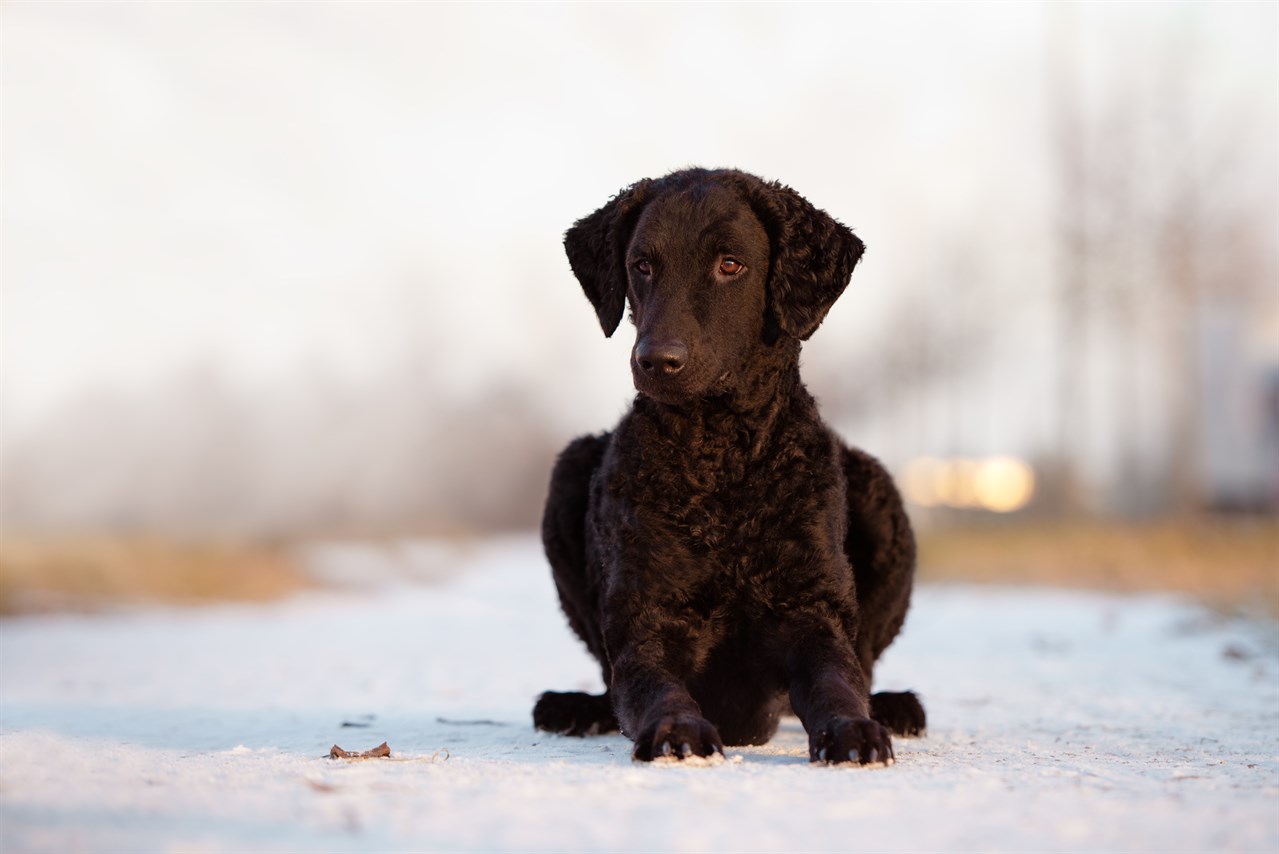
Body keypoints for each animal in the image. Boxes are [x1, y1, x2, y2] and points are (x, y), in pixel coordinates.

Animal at [534, 168, 925, 767]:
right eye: (641, 265)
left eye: (730, 264)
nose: (657, 361)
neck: (720, 466)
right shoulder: (647, 620)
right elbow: (657, 688)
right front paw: (677, 729)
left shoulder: (812, 611)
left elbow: (836, 682)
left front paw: (853, 729)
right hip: (569, 473)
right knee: (607, 679)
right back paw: (573, 707)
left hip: (877, 491)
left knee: (866, 663)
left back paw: (894, 707)